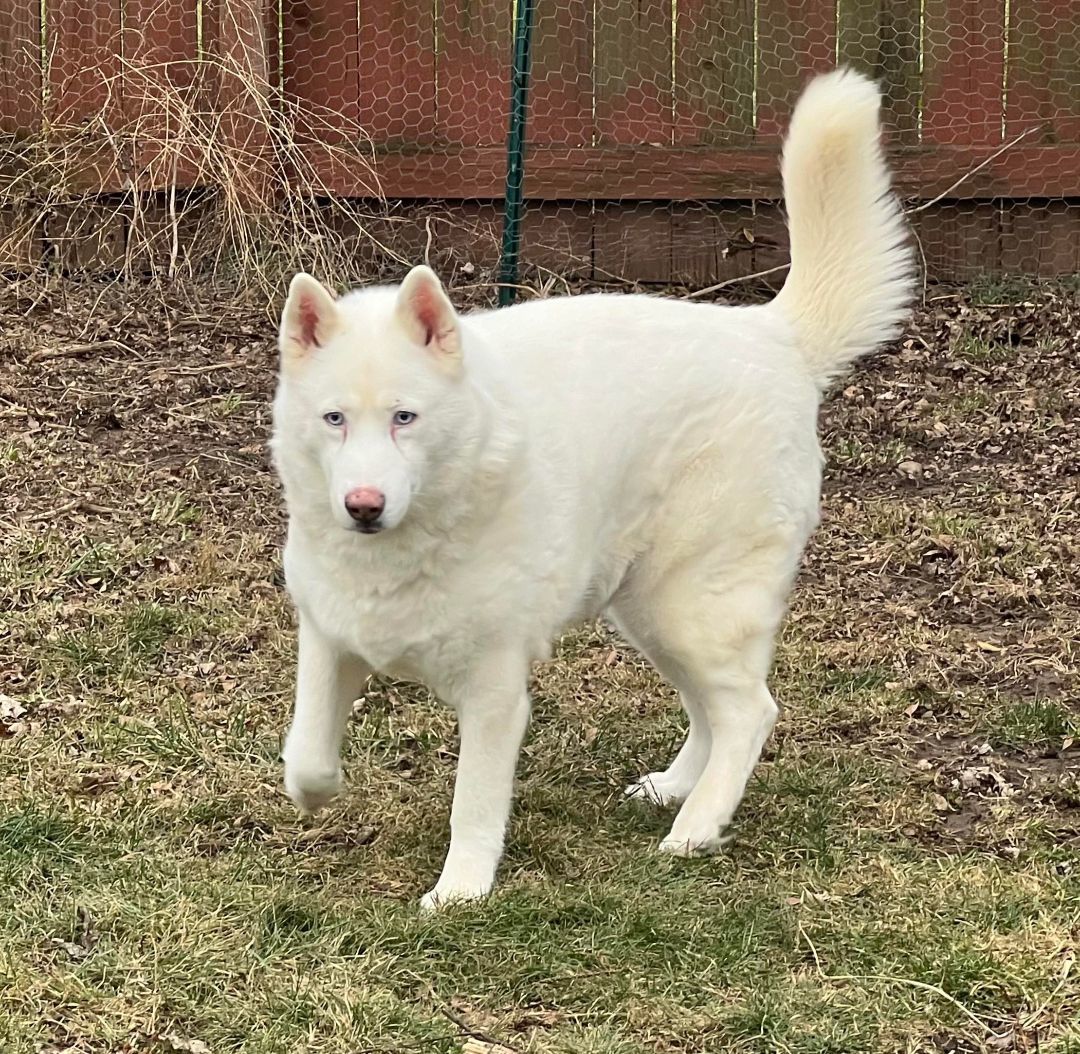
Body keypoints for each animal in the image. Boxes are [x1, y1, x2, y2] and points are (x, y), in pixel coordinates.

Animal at [267, 68, 911, 907]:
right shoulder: (330, 637)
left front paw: (462, 891)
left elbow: (474, 803)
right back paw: (674, 788)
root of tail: (772, 335)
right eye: (334, 419)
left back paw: (697, 826)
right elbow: (306, 752)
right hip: (648, 611)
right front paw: (322, 793)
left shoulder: (495, 690)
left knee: (749, 711)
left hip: (687, 607)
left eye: (406, 418)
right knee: (713, 708)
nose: (363, 508)